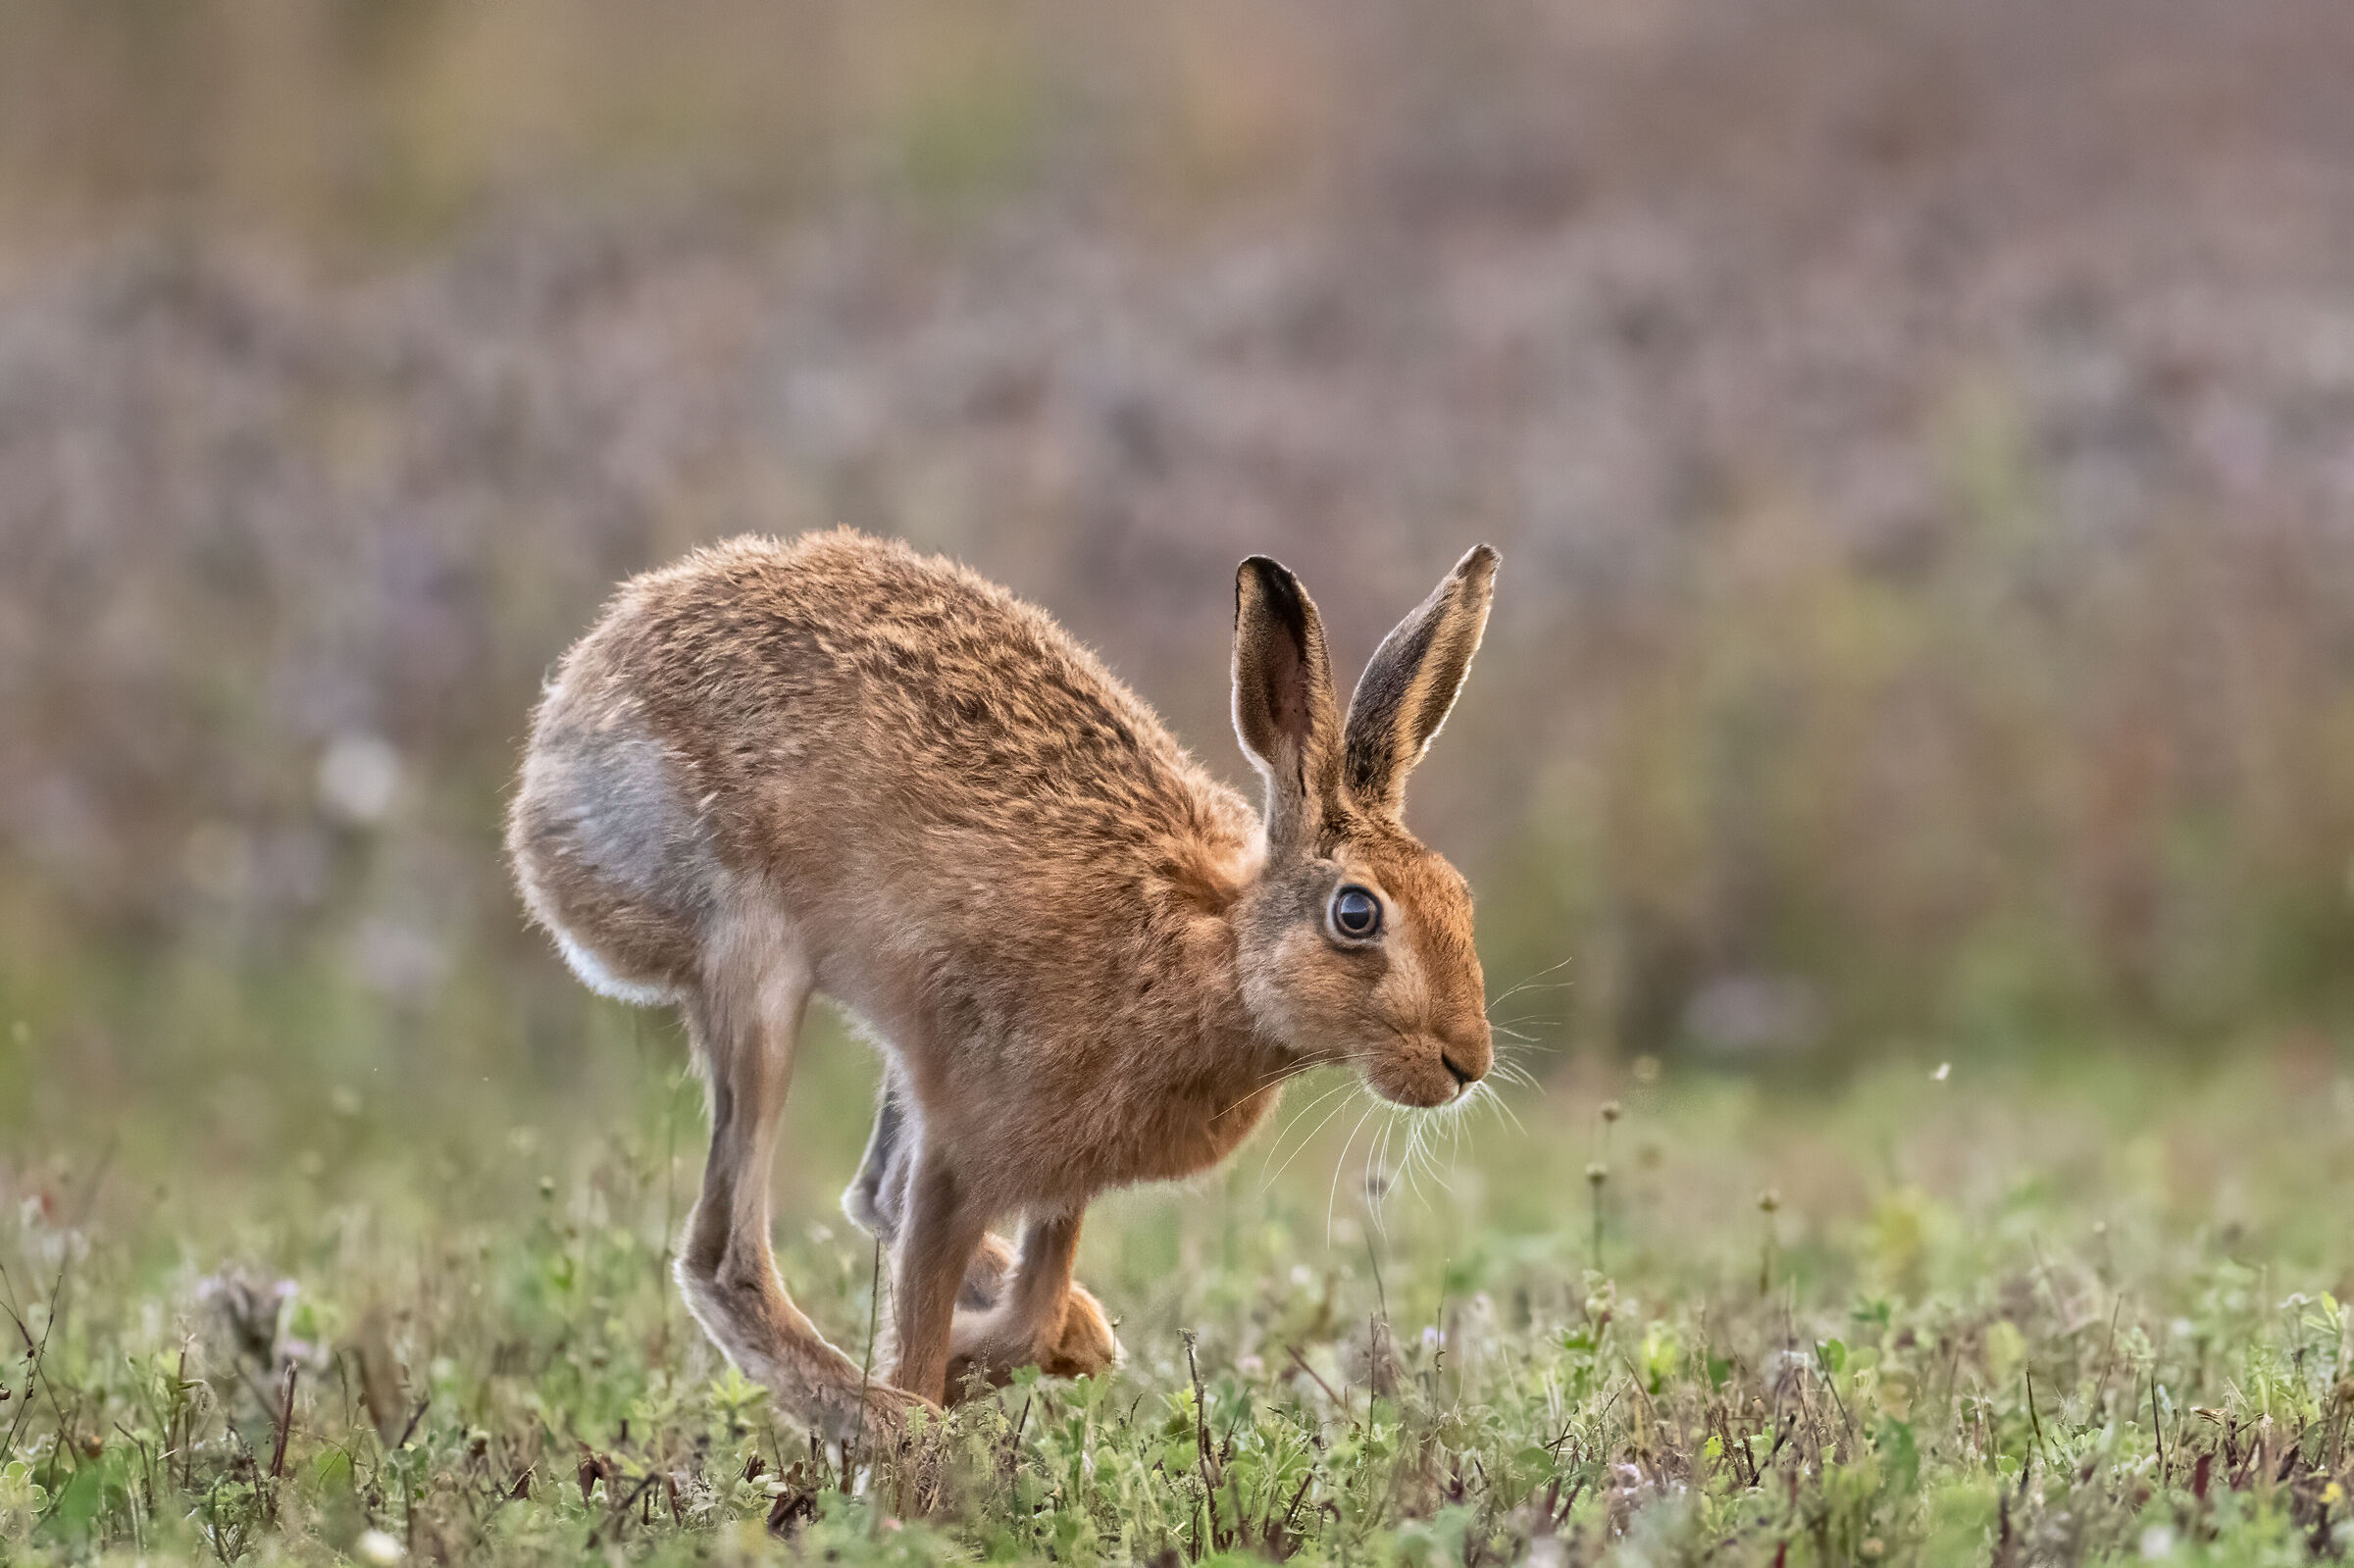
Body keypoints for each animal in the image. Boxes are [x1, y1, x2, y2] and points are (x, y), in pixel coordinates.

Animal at [505, 529, 1498, 1441]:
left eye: (1460, 896)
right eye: (1357, 914)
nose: (1467, 1062)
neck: (1216, 949)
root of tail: (562, 728)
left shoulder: (1064, 1177)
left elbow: (1029, 1307)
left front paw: (1019, 1352)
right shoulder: (966, 1147)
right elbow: (933, 1300)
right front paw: (925, 1410)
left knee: (872, 1191)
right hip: (751, 964)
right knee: (726, 1257)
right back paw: (888, 1422)